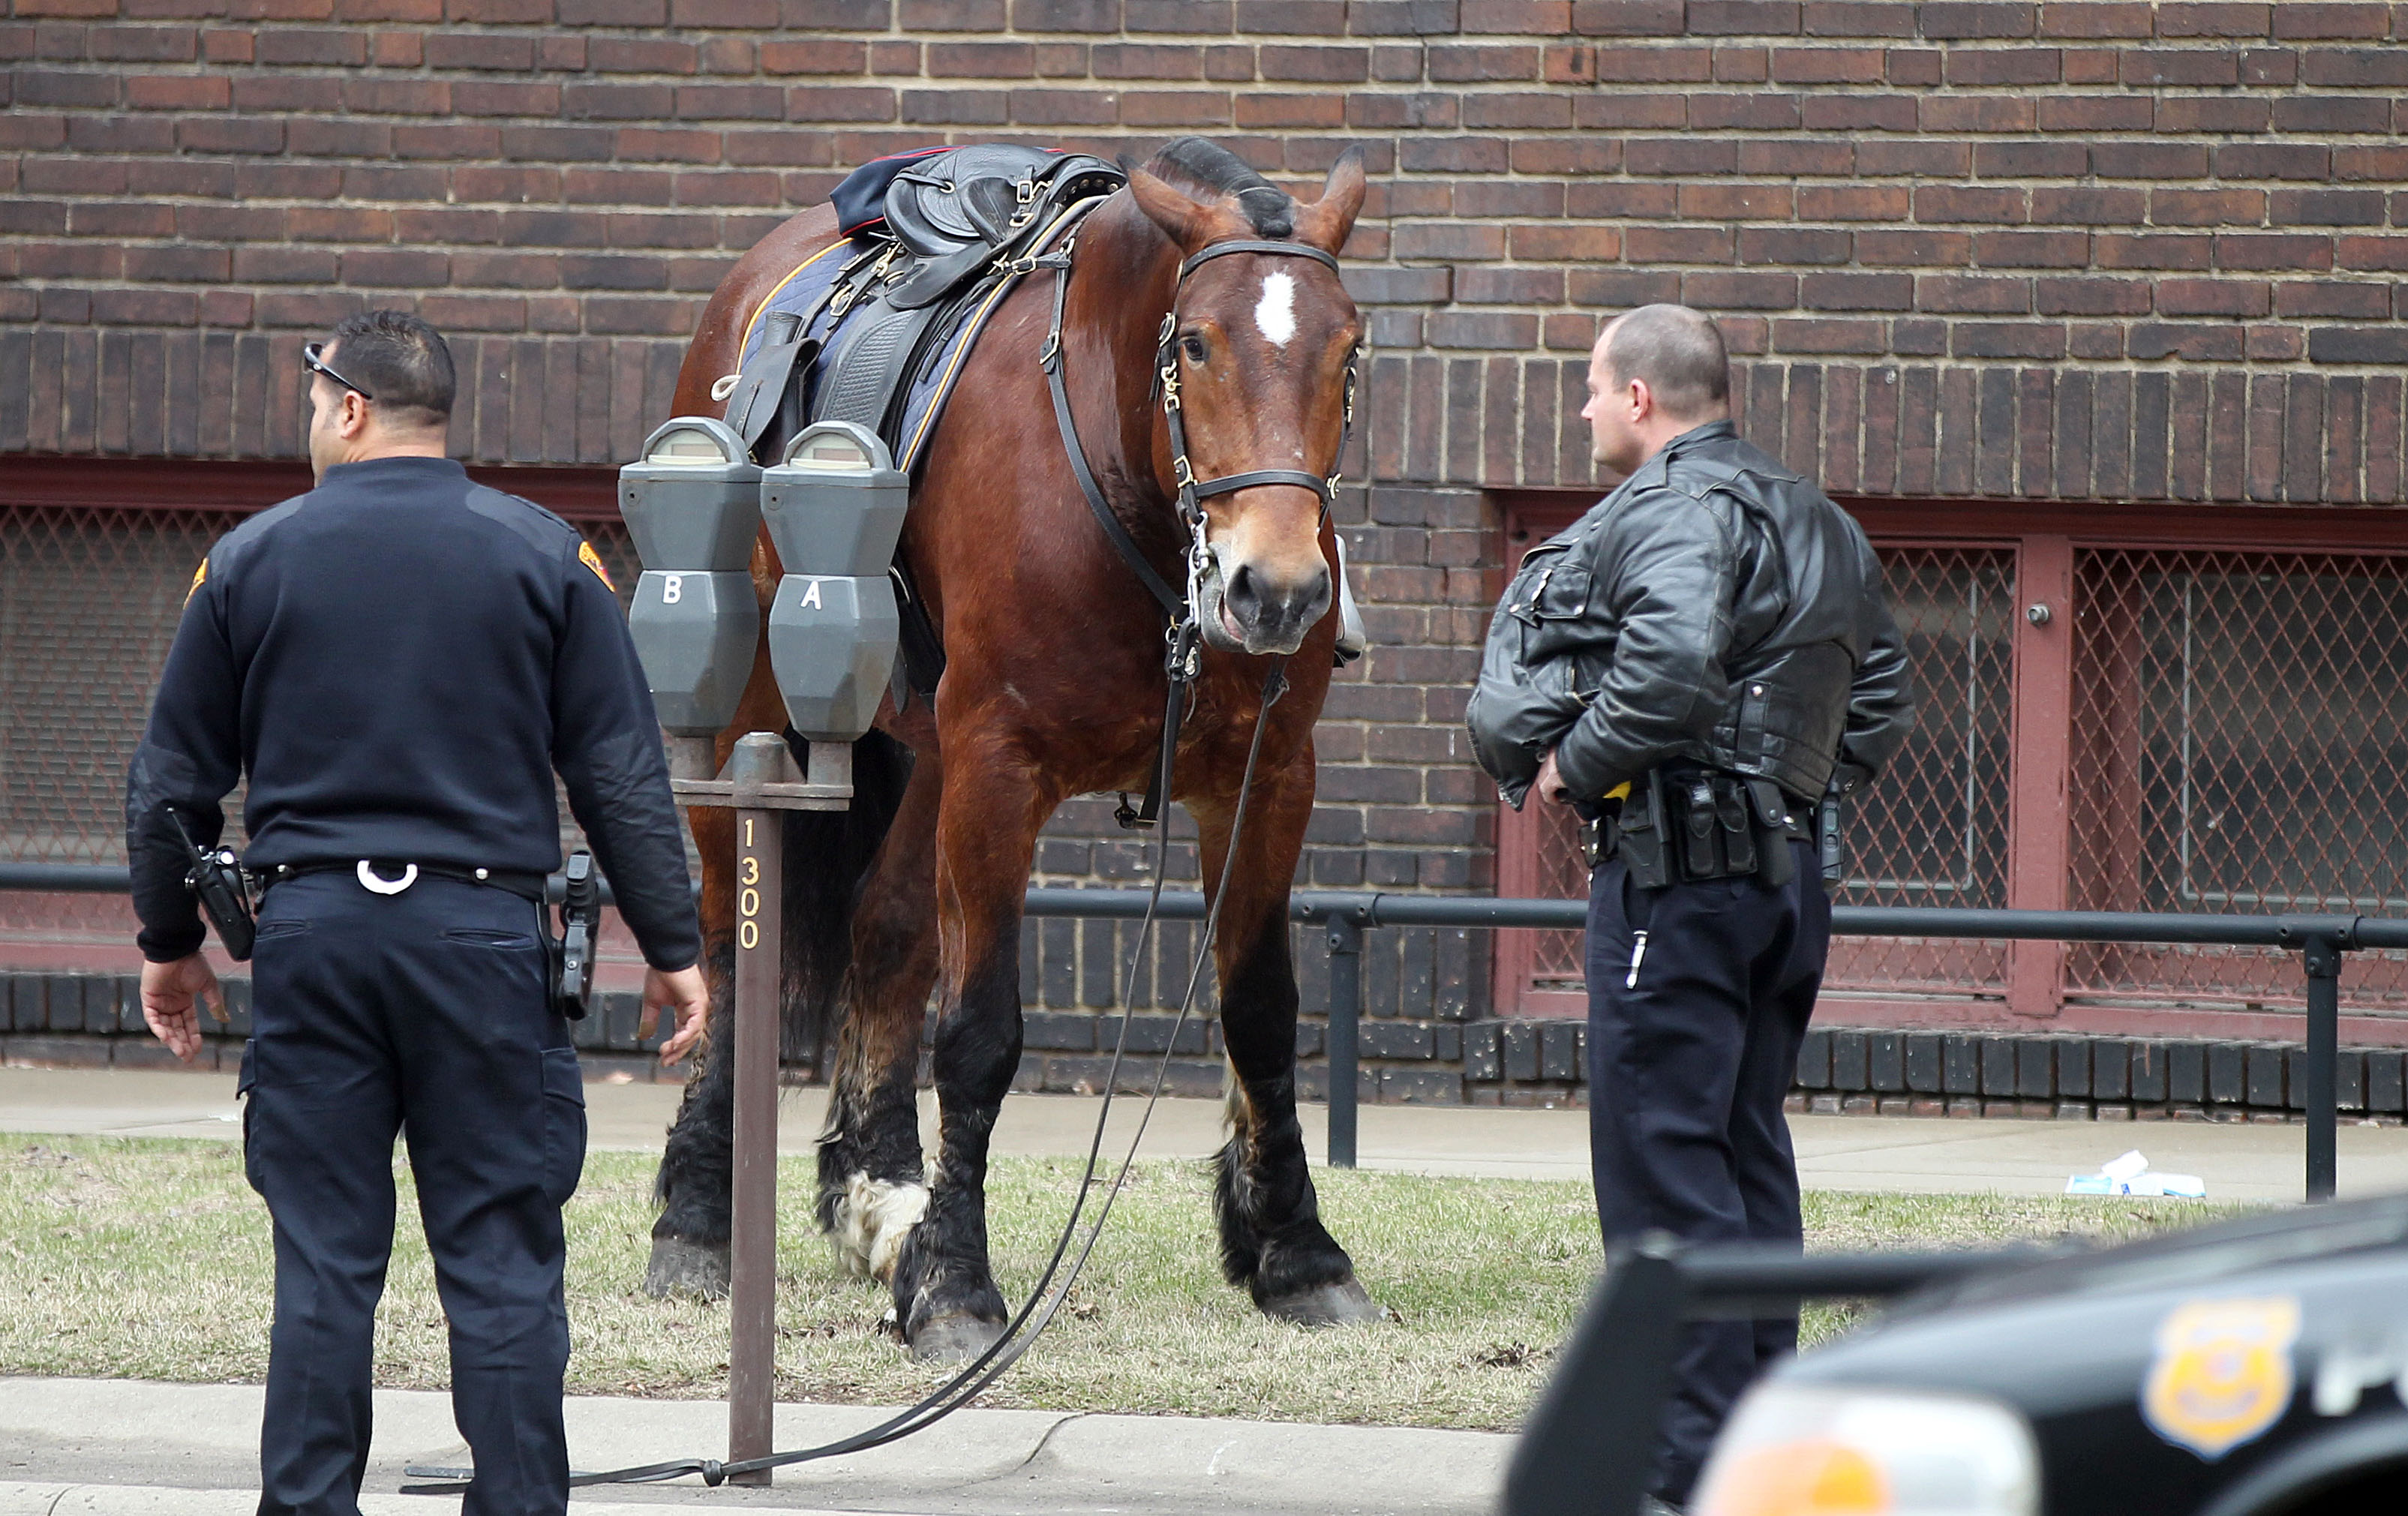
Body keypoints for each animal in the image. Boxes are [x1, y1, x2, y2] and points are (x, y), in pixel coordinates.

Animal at [650, 137, 1386, 1357]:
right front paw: (954, 1282)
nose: (1274, 589)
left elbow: (1260, 1011)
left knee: (887, 931)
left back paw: (880, 1191)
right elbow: (980, 1031)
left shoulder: (1268, 773)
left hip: (926, 753)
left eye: (1348, 348)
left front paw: (1295, 1249)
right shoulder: (999, 769)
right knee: (722, 949)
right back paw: (698, 1218)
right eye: (1196, 341)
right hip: (748, 719)